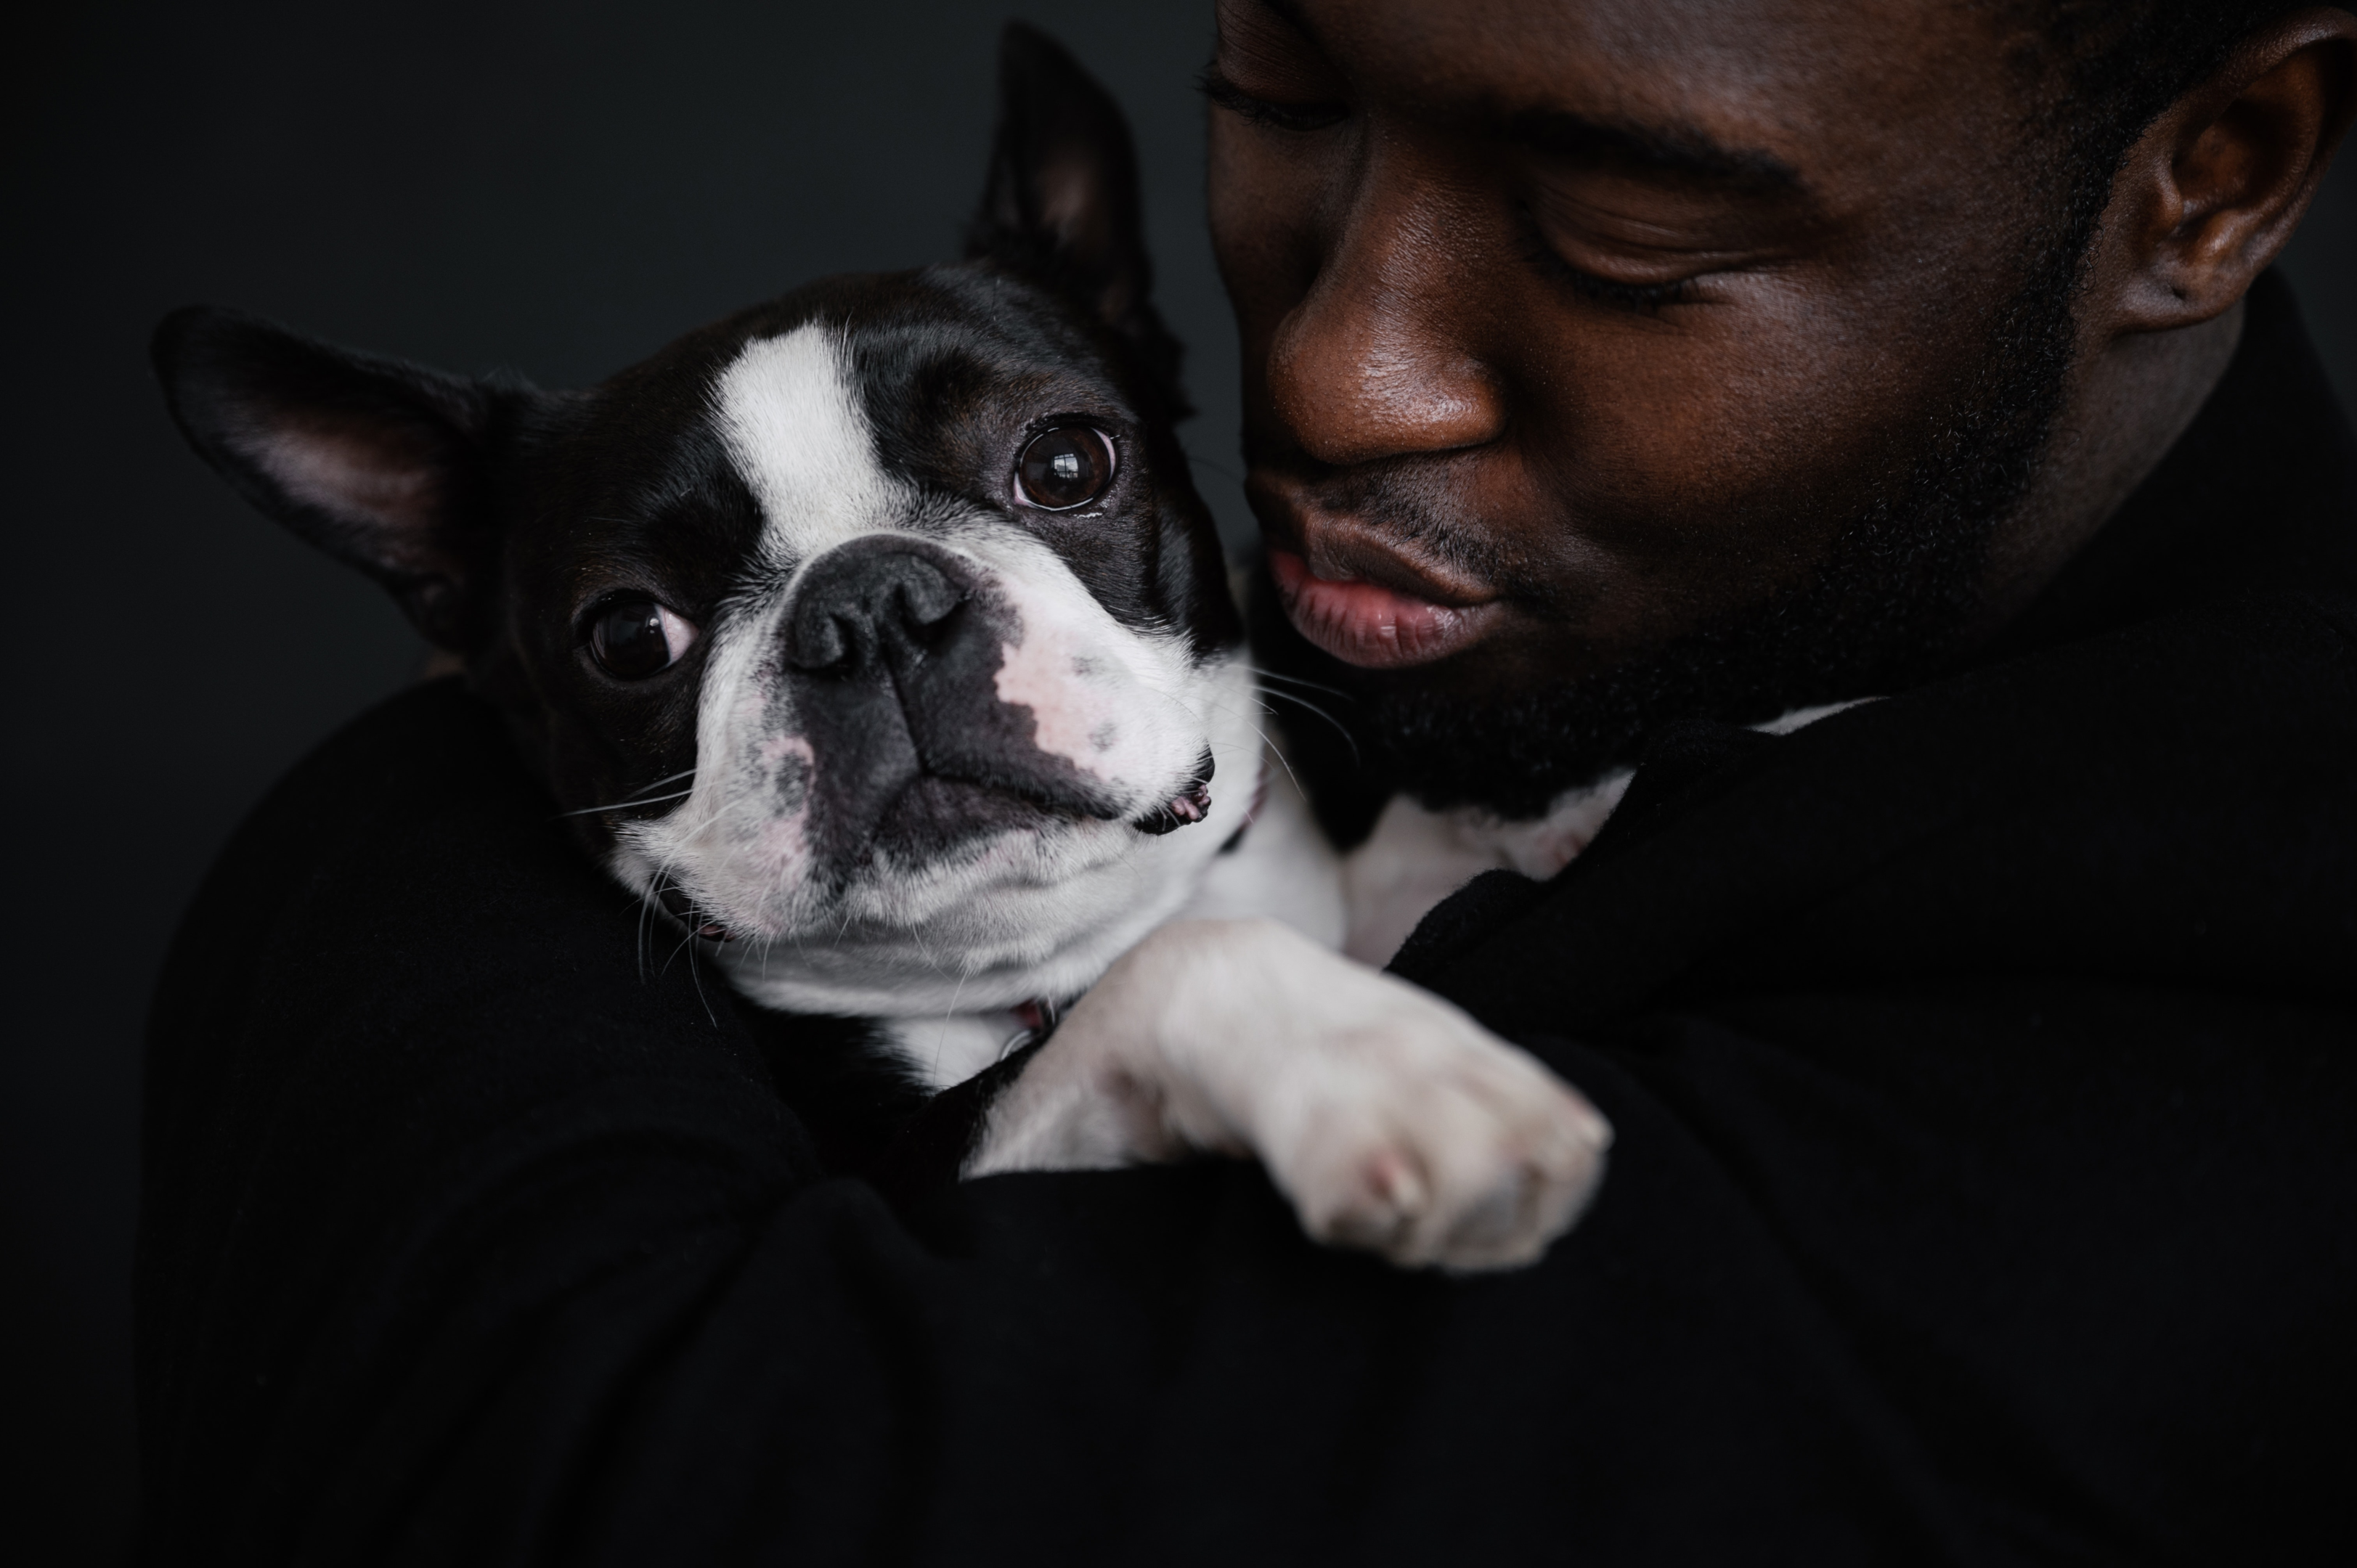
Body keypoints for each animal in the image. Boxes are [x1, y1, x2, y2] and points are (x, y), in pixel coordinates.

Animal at [156, 27, 1612, 1273]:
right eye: (628, 636)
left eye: (1066, 463)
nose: (868, 608)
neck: (1032, 965)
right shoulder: (912, 1172)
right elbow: (1180, 968)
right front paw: (1378, 1068)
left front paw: (1523, 821)